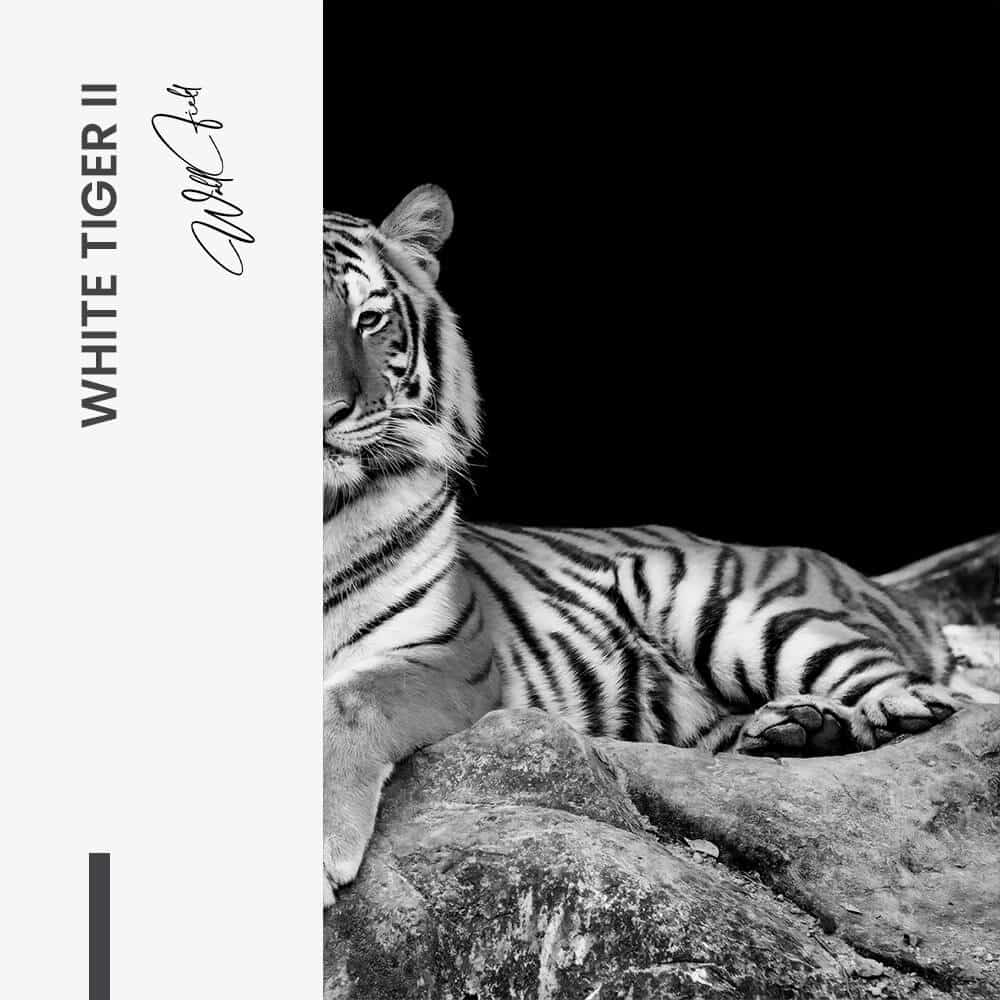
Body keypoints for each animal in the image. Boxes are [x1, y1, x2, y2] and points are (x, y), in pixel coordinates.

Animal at [322, 185, 995, 906]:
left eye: (369, 318)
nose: (328, 411)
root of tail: (873, 582)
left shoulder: (448, 652)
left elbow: (352, 703)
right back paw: (797, 729)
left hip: (734, 609)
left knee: (907, 686)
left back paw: (881, 713)